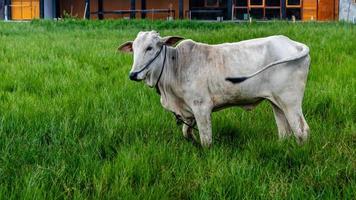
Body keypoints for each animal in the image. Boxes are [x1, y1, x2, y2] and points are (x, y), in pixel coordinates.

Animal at [118, 30, 310, 147]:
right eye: (133, 48)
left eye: (150, 47)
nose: (133, 74)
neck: (176, 66)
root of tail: (292, 43)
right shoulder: (189, 111)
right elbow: (186, 131)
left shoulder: (201, 107)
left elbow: (206, 138)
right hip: (276, 102)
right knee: (285, 131)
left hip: (290, 101)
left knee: (302, 131)